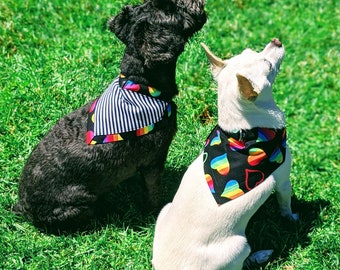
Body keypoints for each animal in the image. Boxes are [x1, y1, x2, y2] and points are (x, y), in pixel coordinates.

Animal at [13, 0, 207, 232]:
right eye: (169, 10)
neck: (142, 87)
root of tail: (22, 207)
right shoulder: (154, 159)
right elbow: (152, 192)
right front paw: (157, 211)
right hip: (80, 201)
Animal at [151, 38, 298, 270]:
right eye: (268, 65)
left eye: (250, 50)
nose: (276, 41)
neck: (242, 134)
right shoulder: (283, 179)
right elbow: (285, 204)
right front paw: (291, 218)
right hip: (239, 246)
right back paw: (260, 255)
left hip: (165, 210)